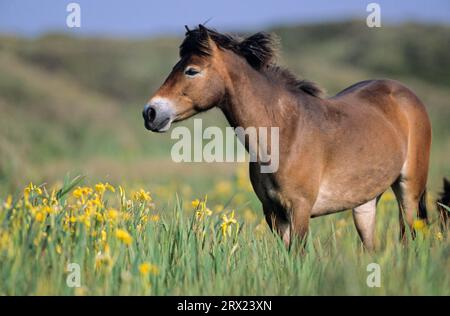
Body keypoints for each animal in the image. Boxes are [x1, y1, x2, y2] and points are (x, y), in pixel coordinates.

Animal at [142, 25, 430, 249]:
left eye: (191, 70)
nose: (150, 112)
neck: (284, 133)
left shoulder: (299, 210)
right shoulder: (274, 213)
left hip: (408, 191)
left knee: (408, 239)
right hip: (365, 204)